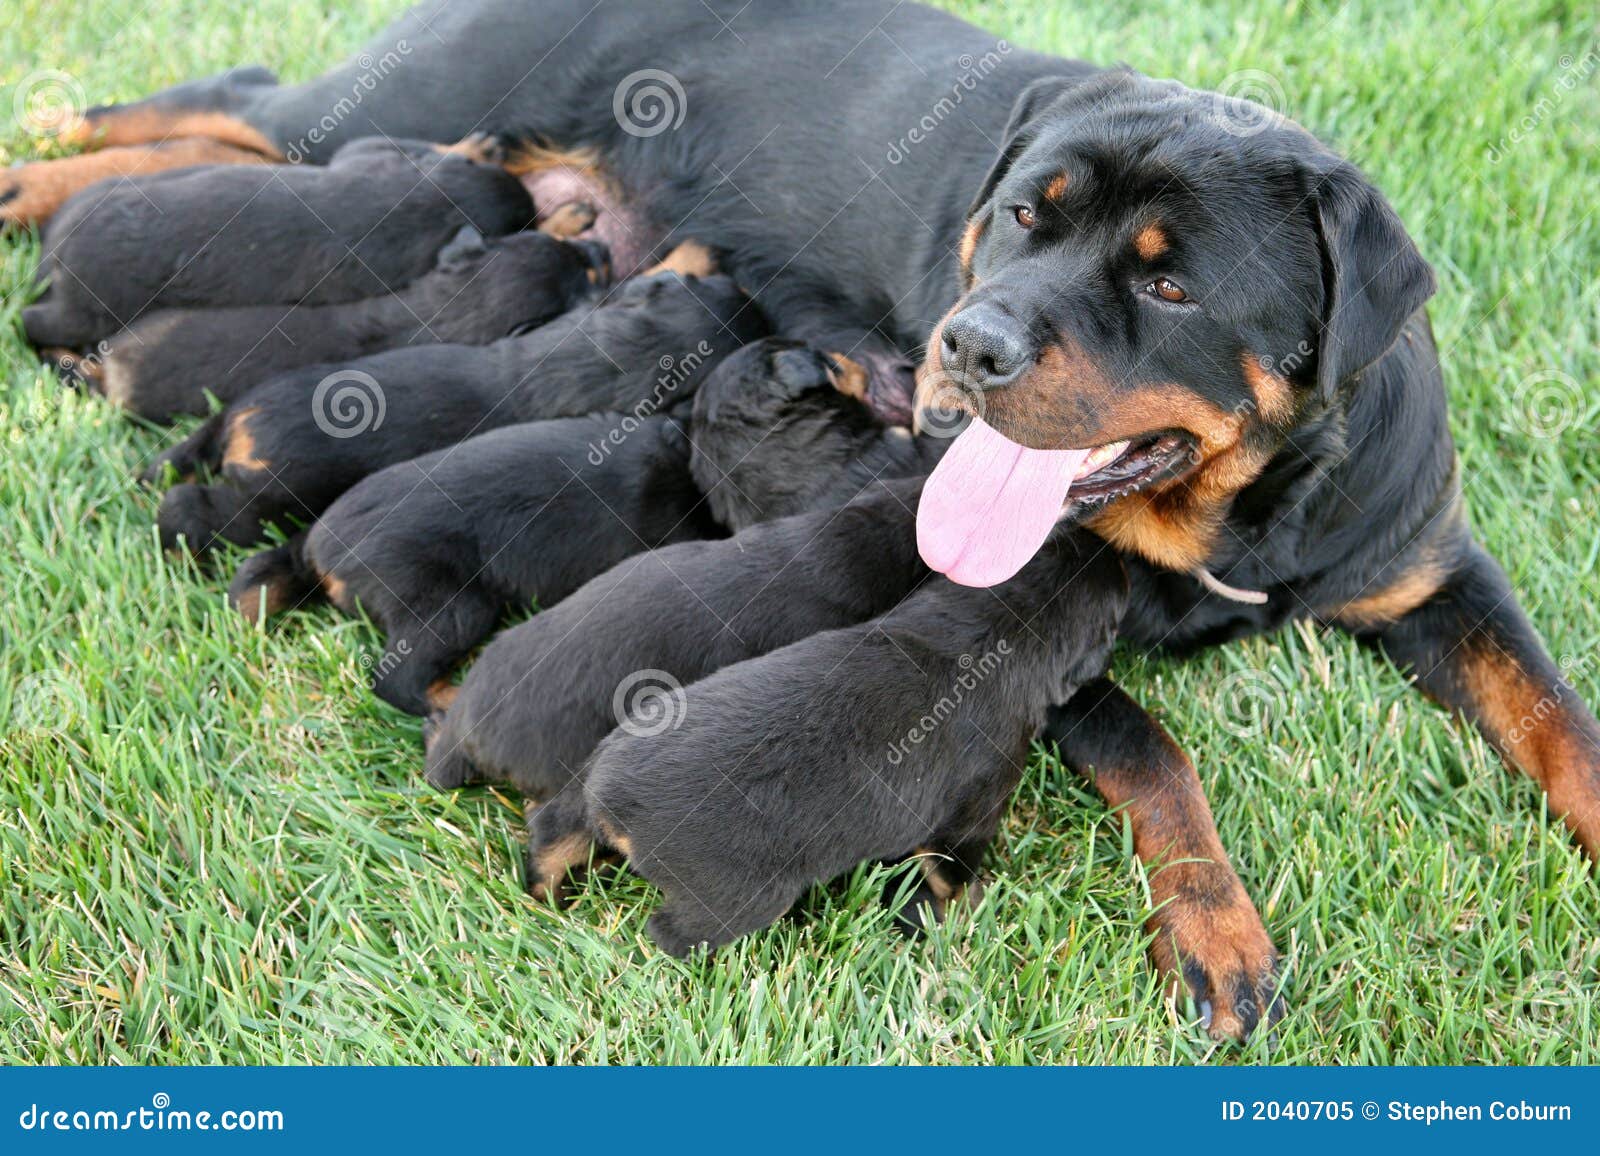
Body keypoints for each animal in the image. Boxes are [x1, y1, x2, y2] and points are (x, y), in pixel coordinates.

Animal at [23, 133, 537, 347]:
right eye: (526, 223)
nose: (534, 204)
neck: (431, 200)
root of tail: (56, 246)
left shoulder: (368, 158)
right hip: (89, 310)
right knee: (35, 324)